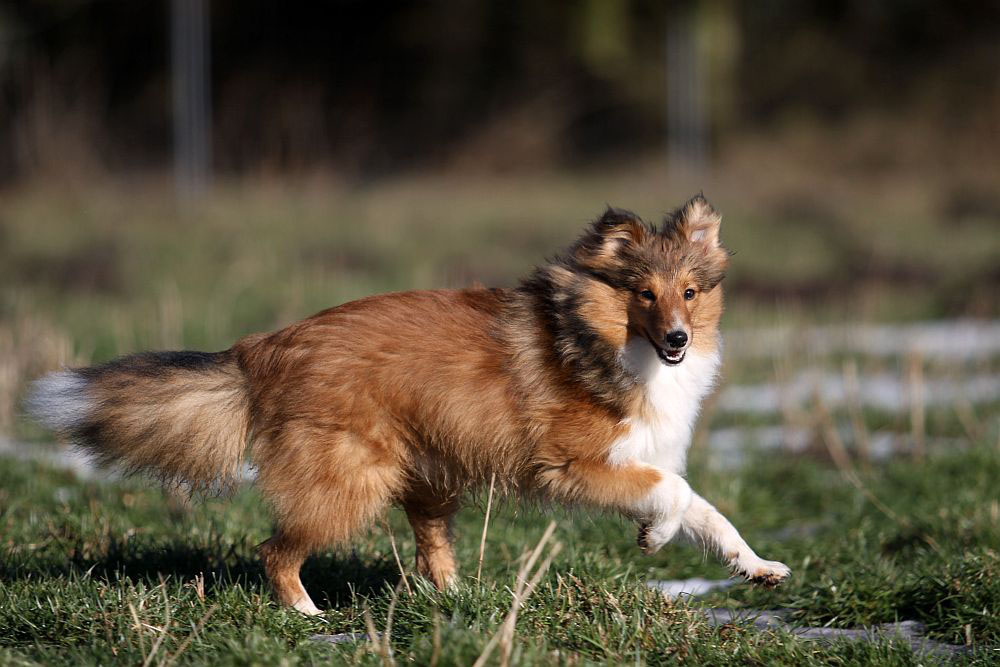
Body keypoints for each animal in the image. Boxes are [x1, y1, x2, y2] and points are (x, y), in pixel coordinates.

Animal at [29, 194, 788, 616]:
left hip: (428, 473)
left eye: (690, 291)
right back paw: (308, 618)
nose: (679, 341)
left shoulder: (636, 455)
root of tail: (260, 349)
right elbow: (674, 491)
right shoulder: (572, 464)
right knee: (276, 549)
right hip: (349, 483)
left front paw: (754, 567)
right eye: (642, 293)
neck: (599, 337)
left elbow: (703, 507)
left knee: (430, 550)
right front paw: (656, 536)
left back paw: (459, 602)